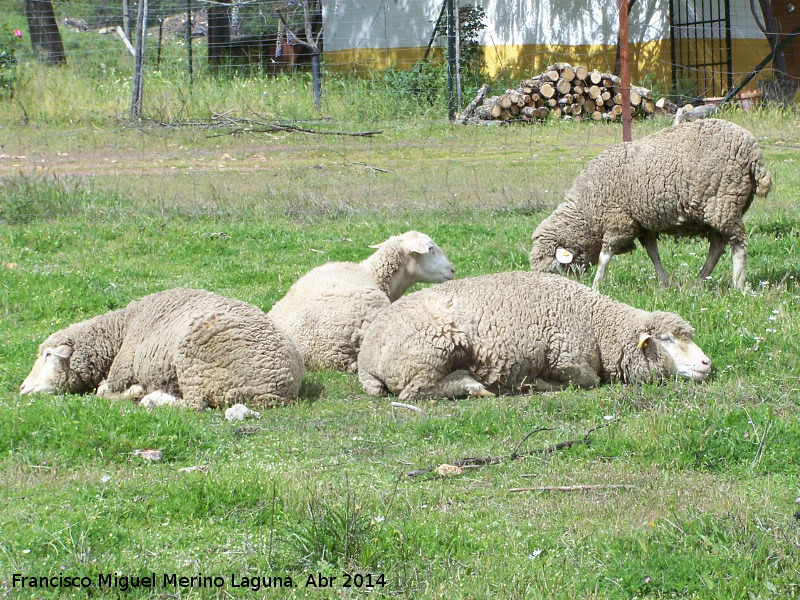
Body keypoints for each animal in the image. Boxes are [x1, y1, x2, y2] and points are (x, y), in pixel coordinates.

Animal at [21, 288, 304, 410]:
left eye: (48, 355)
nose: (22, 387)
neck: (122, 329)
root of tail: (275, 389)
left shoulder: (122, 373)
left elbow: (103, 393)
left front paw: (133, 391)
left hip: (195, 365)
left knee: (193, 406)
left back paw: (152, 398)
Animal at [360, 270, 708, 400]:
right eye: (666, 339)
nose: (707, 364)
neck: (596, 323)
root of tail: (366, 359)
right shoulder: (567, 358)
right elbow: (588, 381)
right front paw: (536, 384)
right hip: (430, 350)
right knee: (417, 392)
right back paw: (473, 386)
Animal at [528, 118, 772, 290]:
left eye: (553, 269)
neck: (587, 211)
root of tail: (753, 151)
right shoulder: (642, 224)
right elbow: (653, 254)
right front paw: (664, 284)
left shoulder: (618, 221)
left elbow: (605, 257)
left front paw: (597, 284)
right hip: (716, 209)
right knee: (717, 246)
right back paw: (699, 281)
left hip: (724, 203)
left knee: (738, 245)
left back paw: (738, 284)